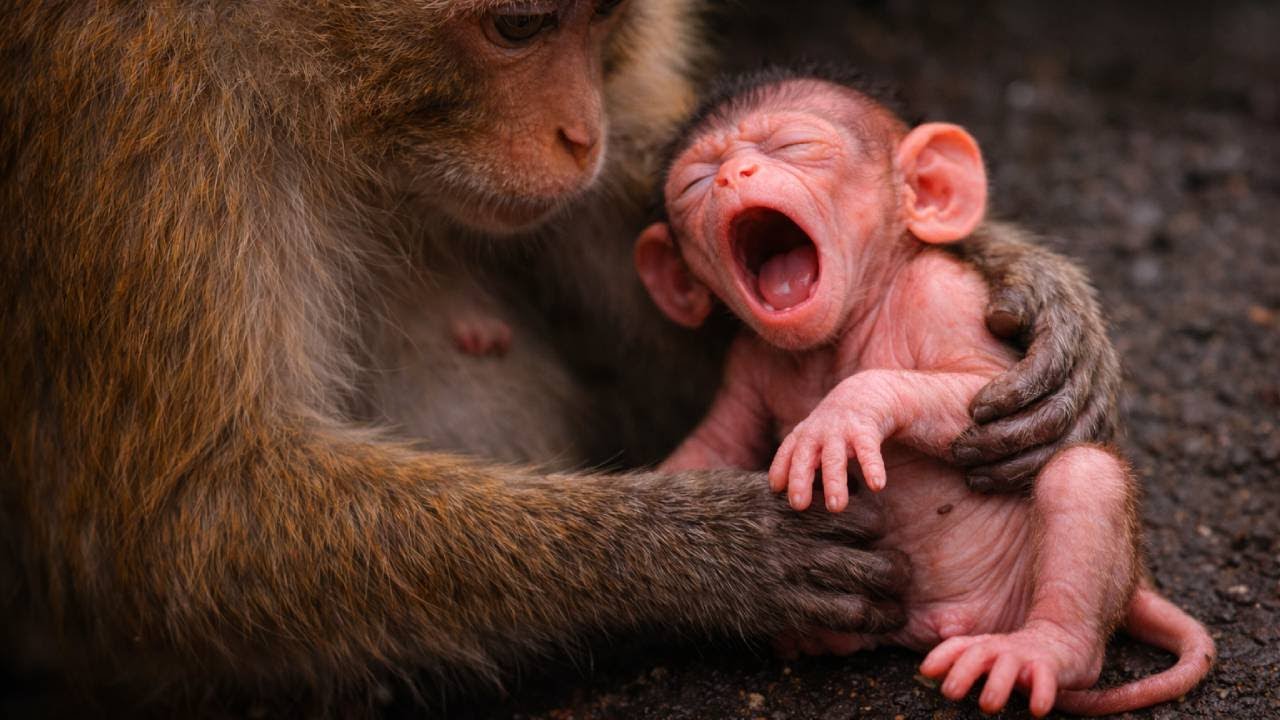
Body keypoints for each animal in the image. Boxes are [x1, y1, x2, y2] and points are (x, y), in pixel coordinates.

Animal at [1, 0, 1124, 712]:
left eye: (596, 21)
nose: (578, 133)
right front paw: (702, 552)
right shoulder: (140, 111)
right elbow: (185, 521)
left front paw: (1017, 275)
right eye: (516, 25)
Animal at [635, 67, 1213, 716]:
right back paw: (821, 634)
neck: (837, 336)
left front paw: (845, 413)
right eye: (695, 181)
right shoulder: (746, 361)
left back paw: (1040, 653)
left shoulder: (937, 294)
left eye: (795, 147)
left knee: (1083, 475)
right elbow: (721, 440)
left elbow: (979, 383)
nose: (734, 175)